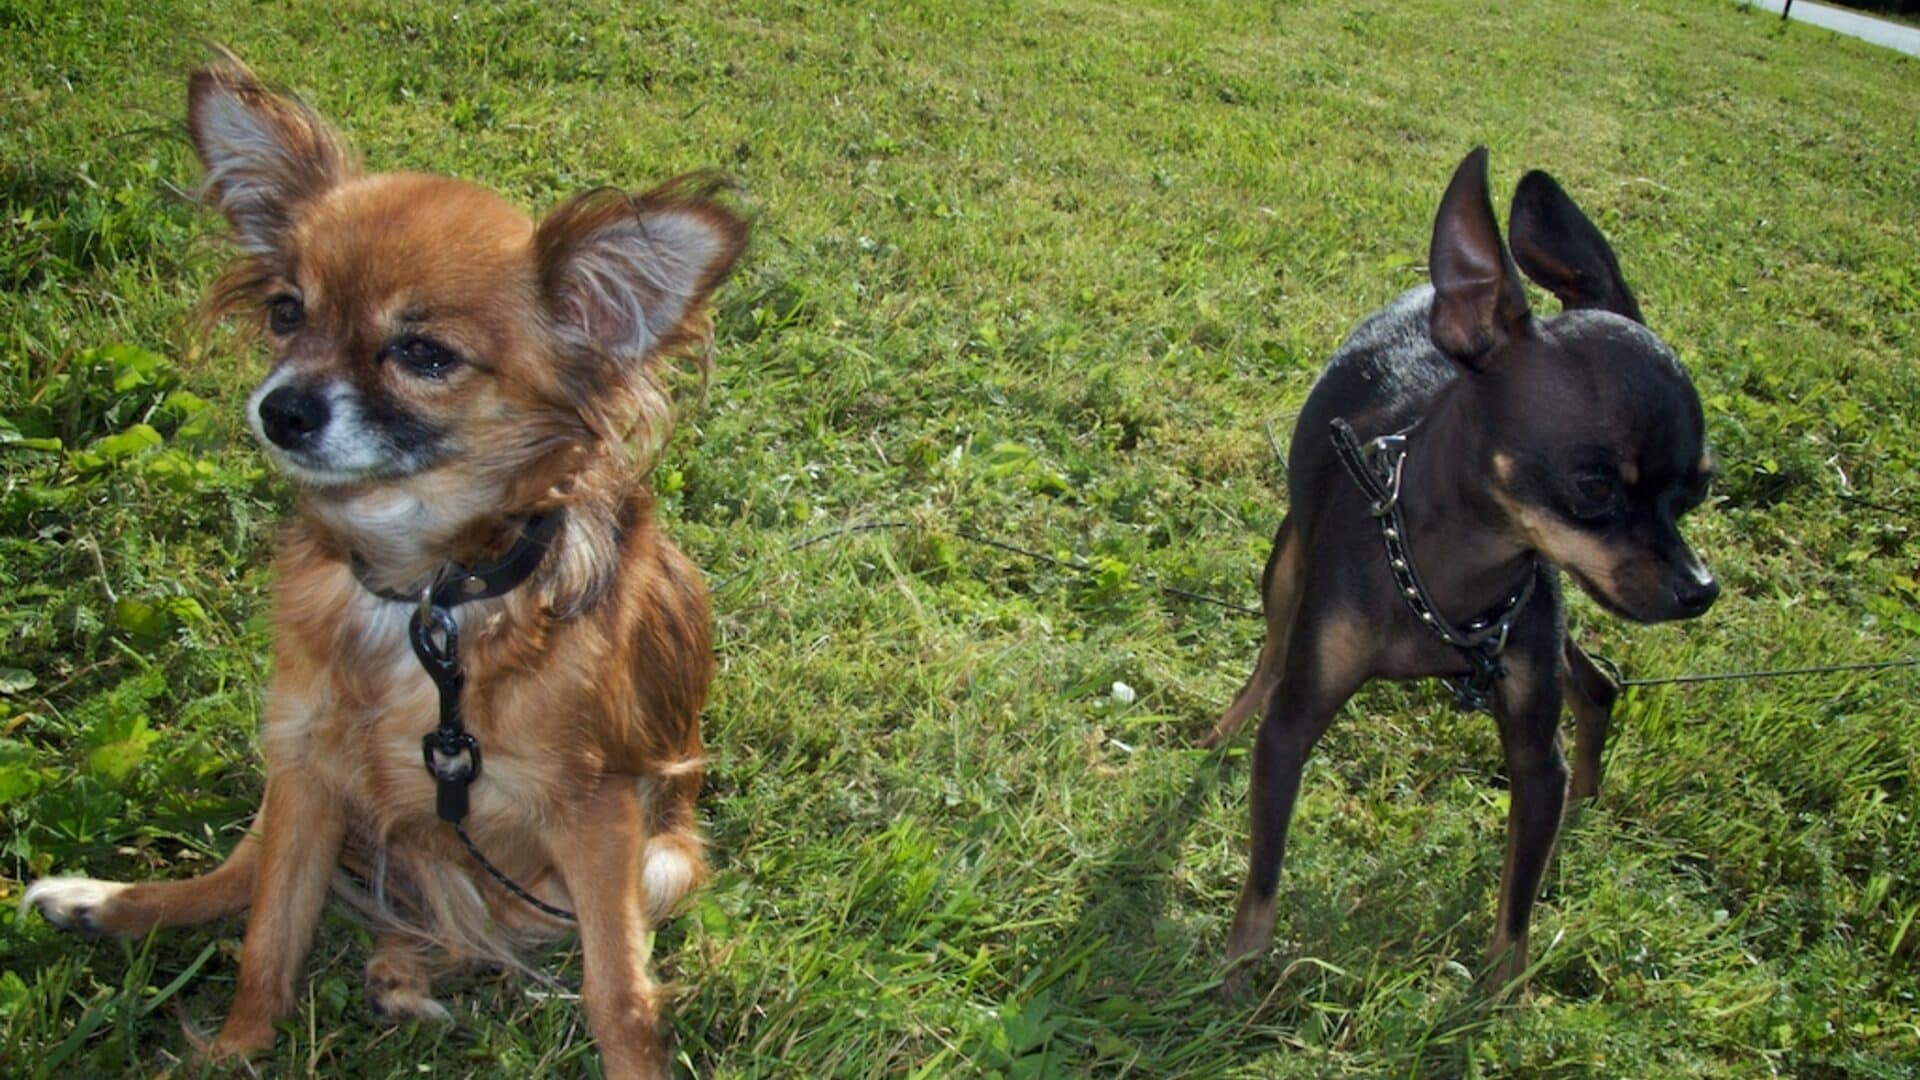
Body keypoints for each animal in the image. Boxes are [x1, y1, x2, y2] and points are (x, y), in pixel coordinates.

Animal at [24, 54, 741, 1068]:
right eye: (287, 312)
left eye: (424, 353)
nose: (283, 409)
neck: (422, 596)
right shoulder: (306, 768)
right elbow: (268, 942)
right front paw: (233, 1053)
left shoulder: (595, 813)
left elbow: (619, 993)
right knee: (241, 879)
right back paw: (103, 904)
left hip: (659, 859)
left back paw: (404, 970)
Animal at [1205, 147, 1720, 991]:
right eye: (1594, 486)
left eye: (1701, 488)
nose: (1700, 589)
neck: (1455, 580)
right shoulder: (1293, 727)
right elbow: (1263, 880)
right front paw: (1238, 977)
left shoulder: (1534, 754)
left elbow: (1517, 908)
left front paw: (1501, 998)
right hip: (1285, 567)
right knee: (1272, 652)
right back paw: (1223, 728)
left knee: (1597, 683)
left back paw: (1583, 805)